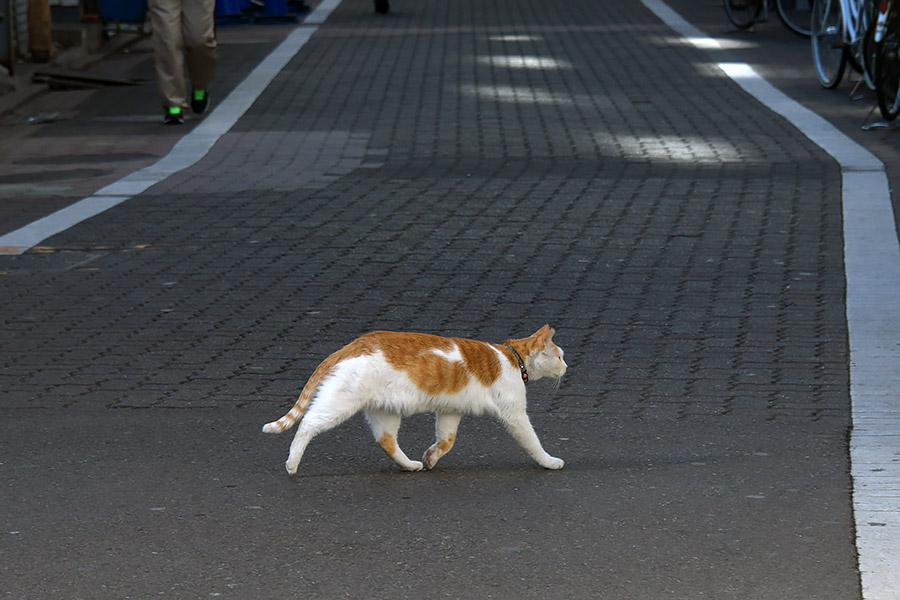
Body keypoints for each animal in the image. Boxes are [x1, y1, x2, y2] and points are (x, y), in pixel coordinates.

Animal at [264, 326, 568, 476]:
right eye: (560, 355)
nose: (567, 367)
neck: (513, 358)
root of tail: (352, 345)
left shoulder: (450, 410)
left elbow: (446, 440)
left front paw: (431, 457)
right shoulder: (514, 414)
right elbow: (533, 442)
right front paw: (549, 461)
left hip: (385, 411)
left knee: (386, 441)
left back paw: (410, 465)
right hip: (340, 403)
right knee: (307, 424)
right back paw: (292, 464)